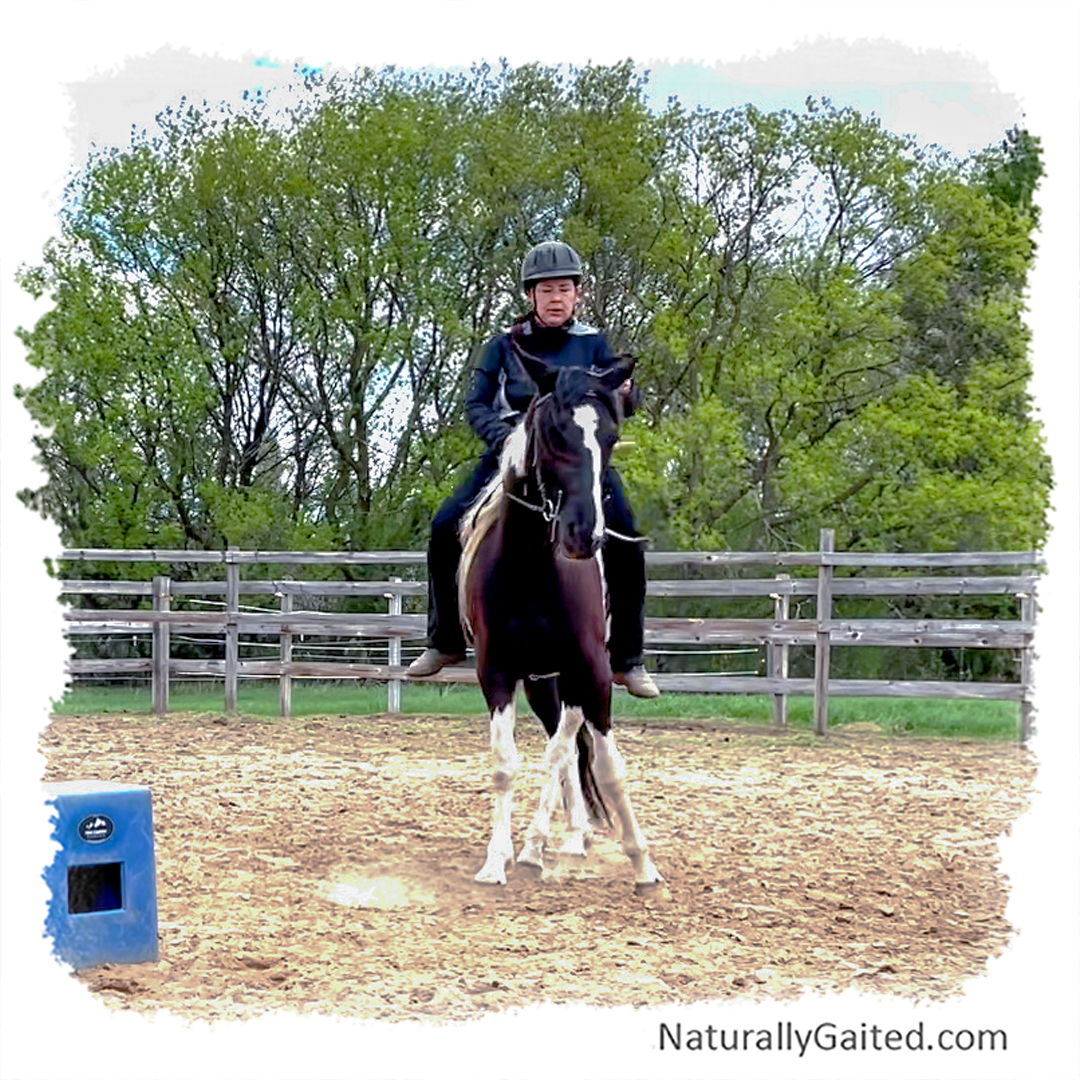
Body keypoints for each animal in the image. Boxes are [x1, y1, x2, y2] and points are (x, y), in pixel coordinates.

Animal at [457, 343, 664, 895]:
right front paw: (497, 860)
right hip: (542, 681)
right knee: (565, 747)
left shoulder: (592, 670)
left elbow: (606, 765)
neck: (531, 568)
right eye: (553, 432)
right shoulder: (497, 671)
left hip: (571, 676)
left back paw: (558, 841)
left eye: (610, 435)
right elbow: (507, 765)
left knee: (569, 743)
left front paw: (643, 863)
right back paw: (559, 839)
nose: (582, 534)